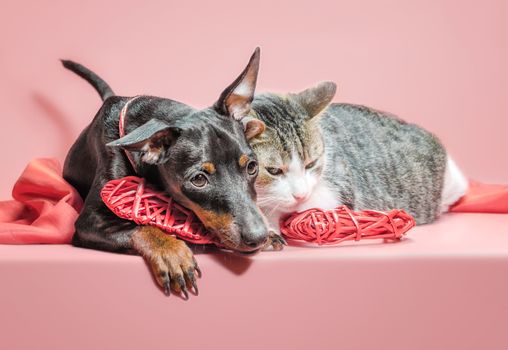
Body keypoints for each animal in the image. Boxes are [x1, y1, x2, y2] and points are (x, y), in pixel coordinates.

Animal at [60, 48, 286, 298]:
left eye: (252, 167)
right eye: (198, 179)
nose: (258, 237)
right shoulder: (88, 222)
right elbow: (141, 227)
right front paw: (172, 252)